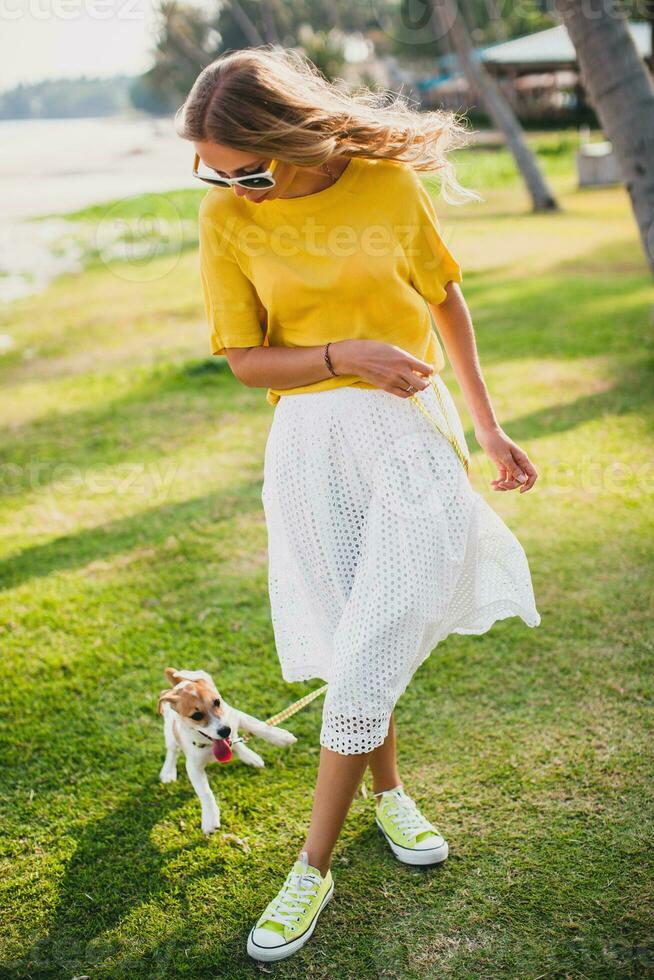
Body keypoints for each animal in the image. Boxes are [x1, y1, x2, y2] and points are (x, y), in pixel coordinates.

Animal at [158, 668, 298, 836]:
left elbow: (257, 725)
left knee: (237, 741)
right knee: (172, 751)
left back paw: (250, 756)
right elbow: (205, 792)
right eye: (196, 715)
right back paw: (168, 772)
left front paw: (280, 737)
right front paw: (210, 817)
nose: (225, 730)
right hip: (169, 732)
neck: (209, 744)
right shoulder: (193, 766)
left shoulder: (235, 716)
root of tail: (179, 684)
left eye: (217, 702)